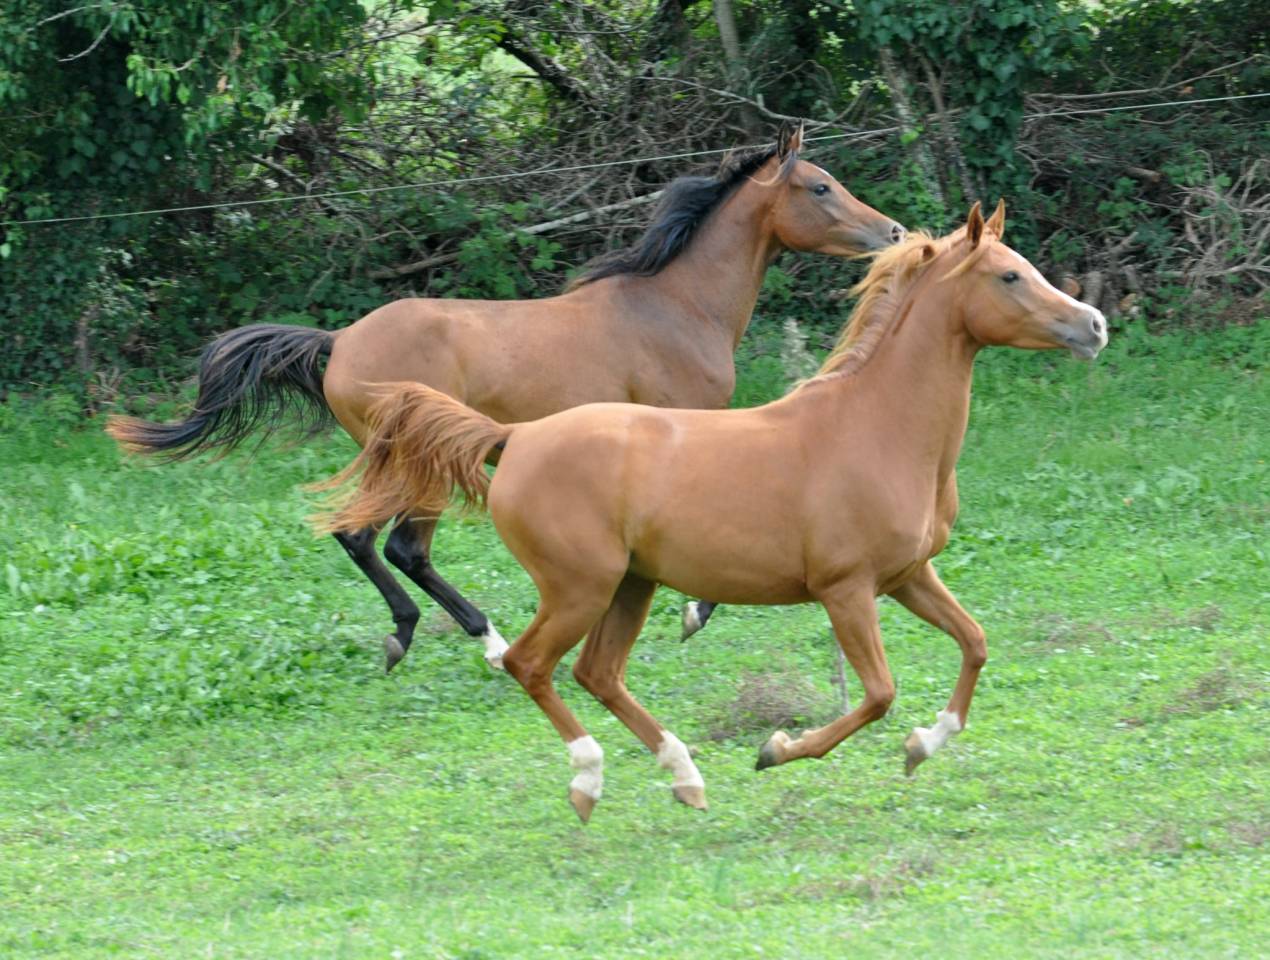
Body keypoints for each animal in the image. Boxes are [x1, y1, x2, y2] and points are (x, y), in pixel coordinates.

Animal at [107, 123, 904, 673]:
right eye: (820, 186)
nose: (892, 228)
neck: (676, 306)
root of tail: (340, 342)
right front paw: (694, 611)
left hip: (389, 461)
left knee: (356, 536)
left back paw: (405, 636)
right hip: (423, 463)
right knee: (400, 546)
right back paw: (487, 640)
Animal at [316, 201, 1108, 822]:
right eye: (1009, 276)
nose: (1095, 324)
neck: (876, 427)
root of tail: (516, 438)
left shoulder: (909, 575)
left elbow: (975, 642)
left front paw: (923, 746)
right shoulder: (846, 589)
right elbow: (878, 693)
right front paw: (776, 750)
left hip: (631, 585)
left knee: (596, 674)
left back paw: (685, 777)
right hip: (579, 587)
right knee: (530, 663)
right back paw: (589, 779)